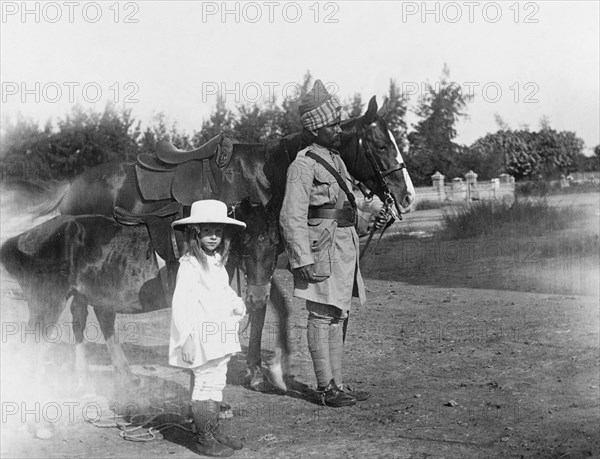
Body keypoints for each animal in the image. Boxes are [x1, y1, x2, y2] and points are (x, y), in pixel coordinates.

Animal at [19, 96, 412, 388]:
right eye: (380, 144)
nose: (406, 196)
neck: (263, 175)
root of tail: (71, 187)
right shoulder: (251, 251)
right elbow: (256, 304)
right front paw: (255, 370)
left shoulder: (255, 256)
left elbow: (273, 305)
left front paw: (274, 367)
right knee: (88, 313)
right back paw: (92, 372)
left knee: (97, 312)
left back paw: (119, 371)